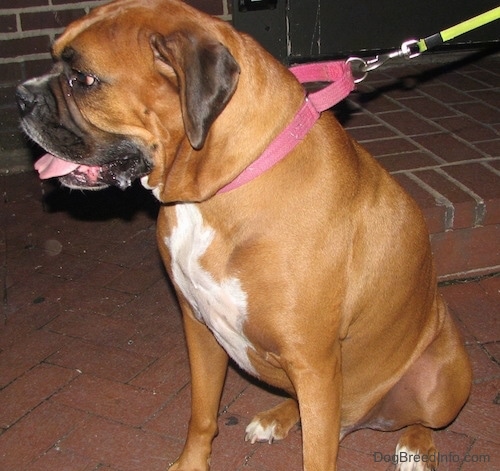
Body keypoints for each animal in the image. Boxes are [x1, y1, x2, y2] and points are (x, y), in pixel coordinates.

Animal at [17, 1, 472, 470]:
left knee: (420, 421)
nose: (20, 97)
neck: (217, 191)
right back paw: (278, 417)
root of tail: (362, 420)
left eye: (83, 79)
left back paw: (415, 445)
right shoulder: (198, 326)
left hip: (437, 382)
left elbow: (316, 456)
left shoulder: (315, 362)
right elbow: (201, 413)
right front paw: (192, 462)